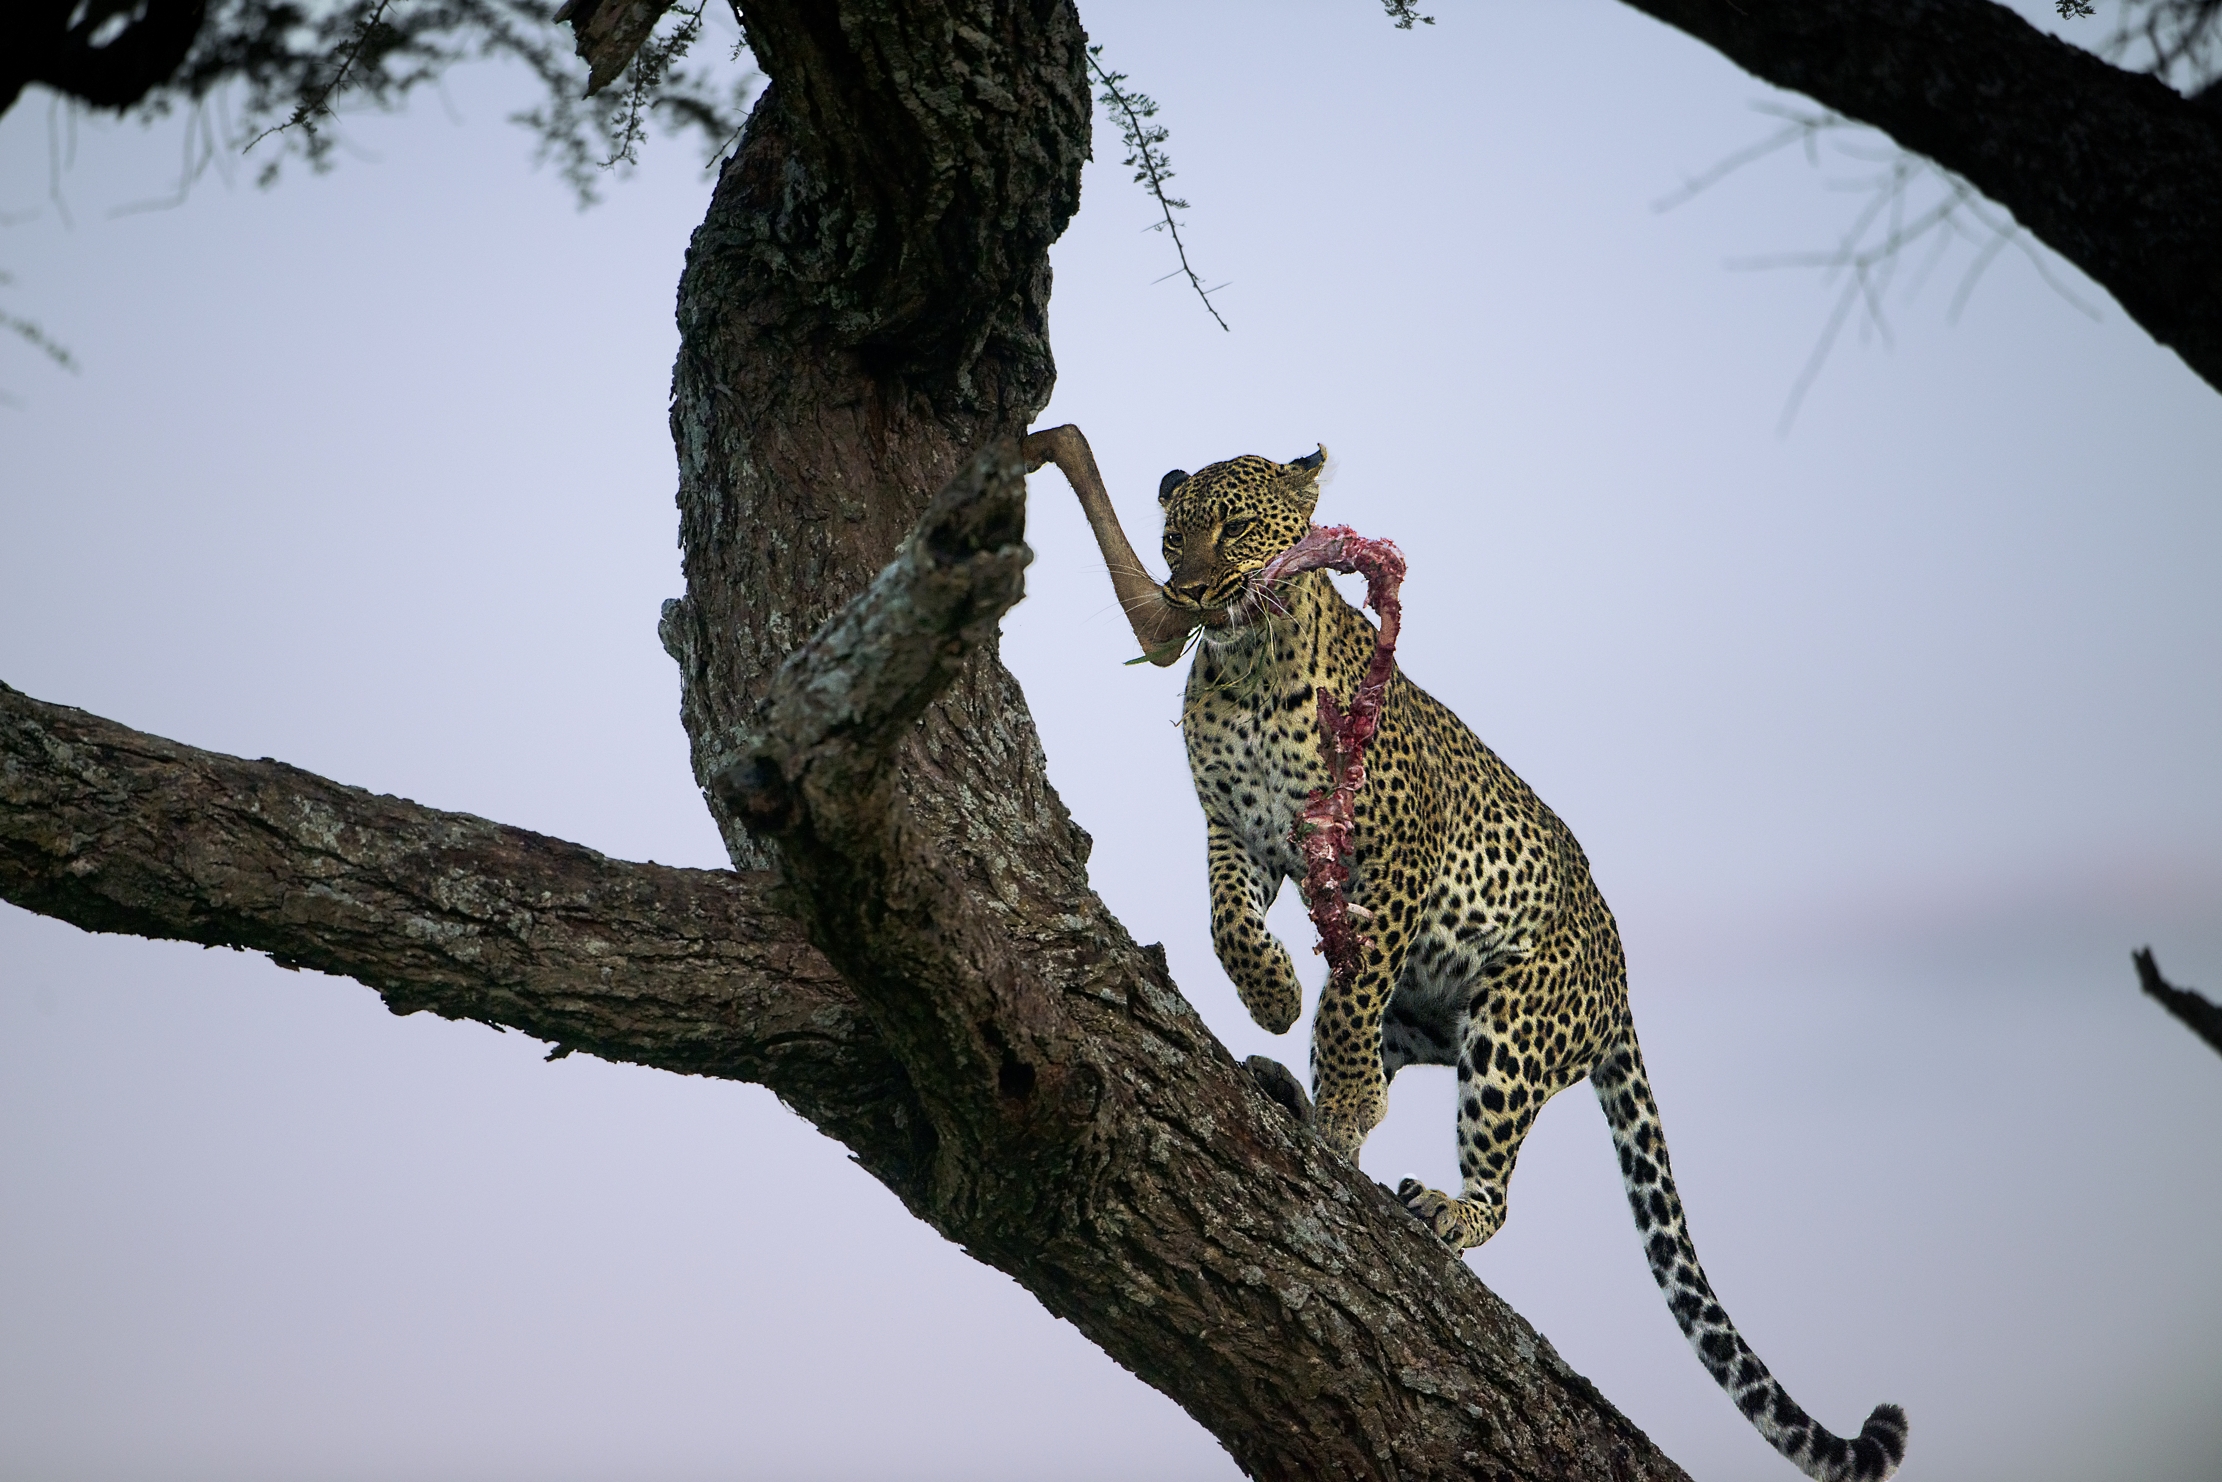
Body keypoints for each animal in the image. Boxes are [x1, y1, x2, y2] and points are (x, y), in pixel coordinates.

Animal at [1151, 447, 1908, 1482]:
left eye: (1233, 527)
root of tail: (1621, 981)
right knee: (1375, 1043)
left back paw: (1438, 1200)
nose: (1183, 591)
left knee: (1493, 1180)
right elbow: (1228, 922)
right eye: (1171, 535)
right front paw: (1270, 997)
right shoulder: (1236, 830)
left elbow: (1344, 1001)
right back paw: (1296, 1095)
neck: (1252, 666)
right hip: (1426, 1016)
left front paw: (1333, 1091)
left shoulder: (1394, 855)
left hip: (1510, 1031)